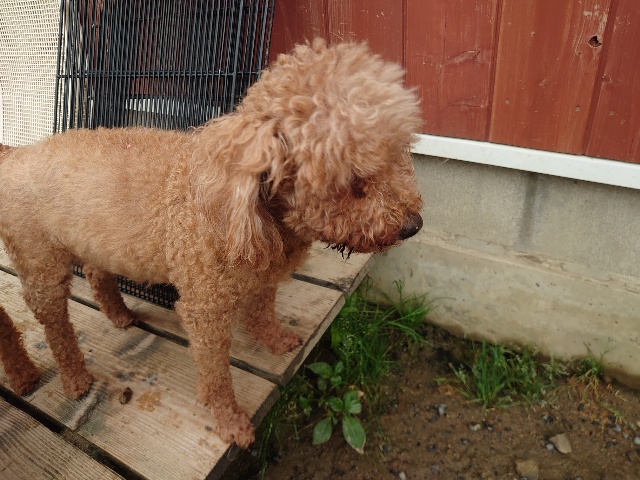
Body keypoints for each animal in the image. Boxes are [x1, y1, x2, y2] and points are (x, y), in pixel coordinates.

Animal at [0, 39, 423, 448]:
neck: (250, 207)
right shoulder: (204, 308)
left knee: (94, 270)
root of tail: (16, 154)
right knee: (54, 322)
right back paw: (73, 379)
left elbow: (264, 308)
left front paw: (276, 340)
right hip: (40, 262)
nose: (414, 225)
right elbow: (217, 374)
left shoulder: (262, 275)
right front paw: (231, 423)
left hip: (93, 240)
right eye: (354, 181)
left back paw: (120, 316)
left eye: (400, 153)